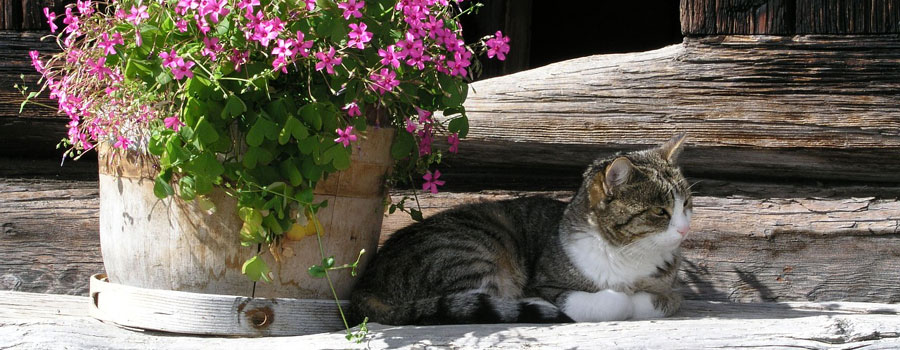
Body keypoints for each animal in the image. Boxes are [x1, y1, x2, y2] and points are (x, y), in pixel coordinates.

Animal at [348, 133, 692, 326]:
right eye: (660, 212)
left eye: (687, 204)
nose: (685, 230)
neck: (626, 253)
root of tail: (365, 284)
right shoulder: (549, 284)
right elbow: (614, 301)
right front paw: (622, 300)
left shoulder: (669, 289)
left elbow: (665, 300)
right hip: (472, 251)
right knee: (467, 300)